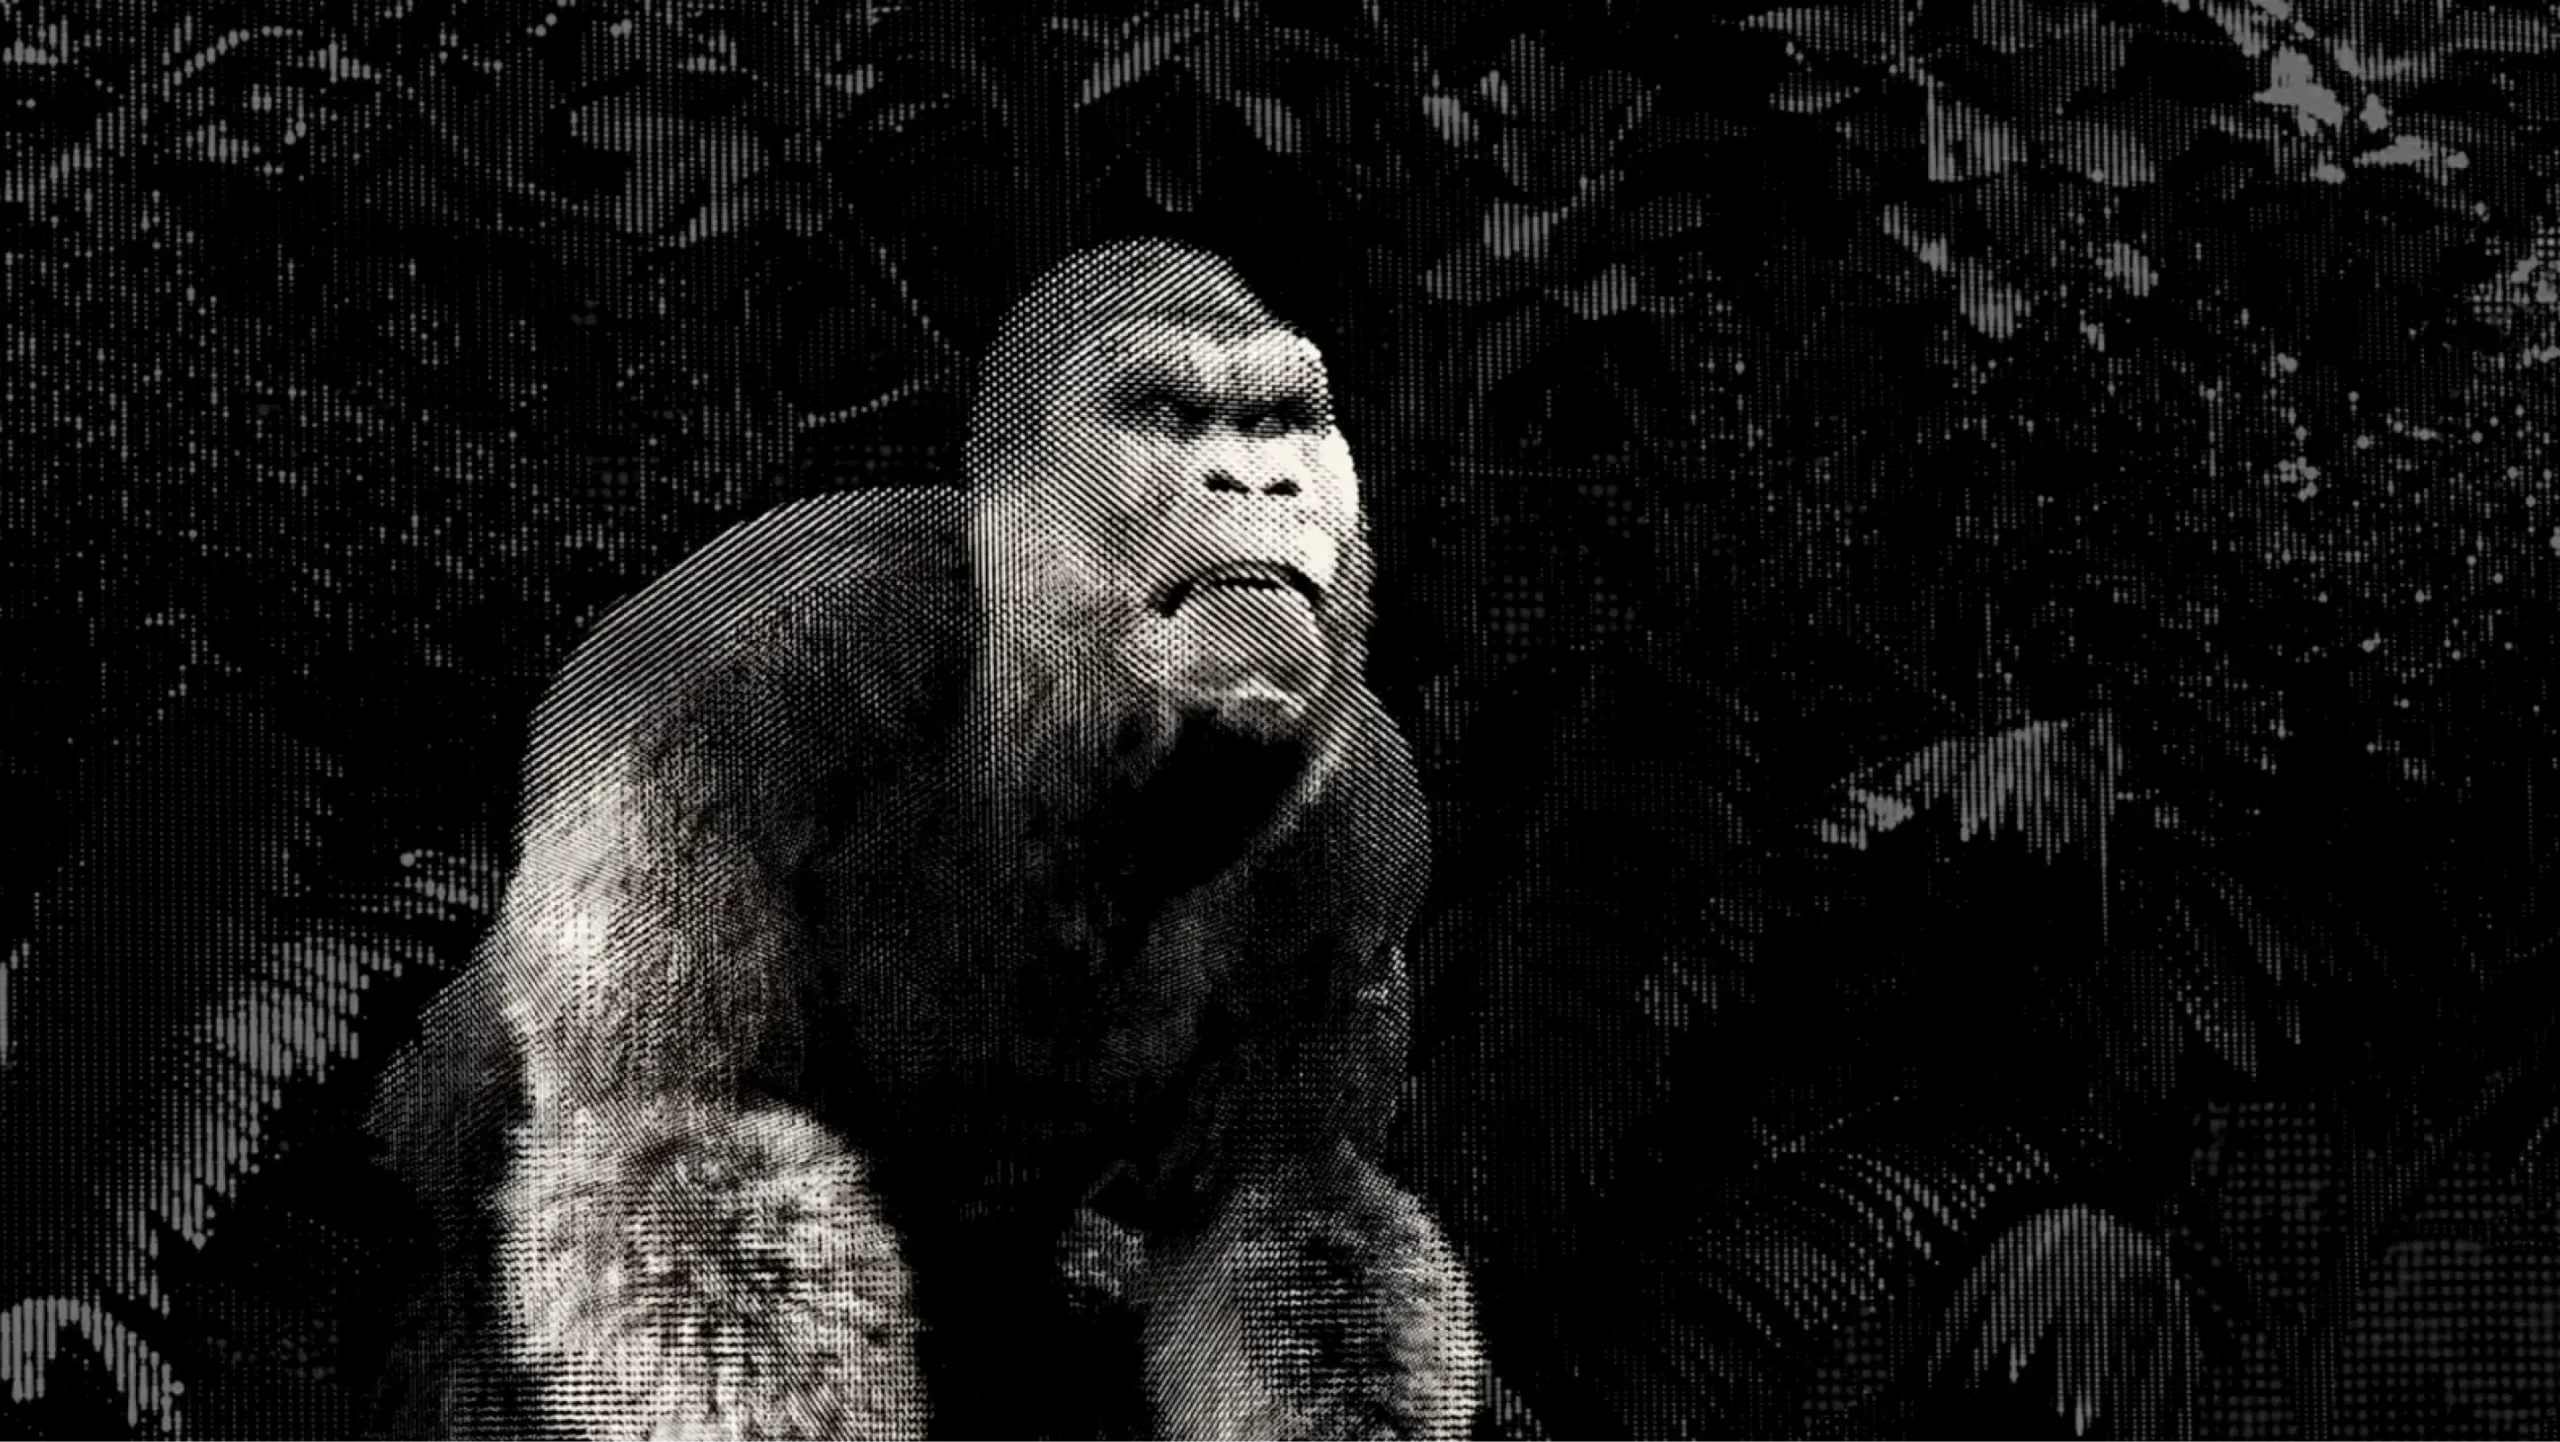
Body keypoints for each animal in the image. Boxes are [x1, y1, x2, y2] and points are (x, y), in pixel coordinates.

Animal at [366, 239, 1485, 1442]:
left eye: (1279, 424)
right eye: (1174, 417)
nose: (1264, 485)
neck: (1048, 720)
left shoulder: (1361, 834)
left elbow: (1279, 1202)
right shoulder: (725, 670)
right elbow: (684, 1131)